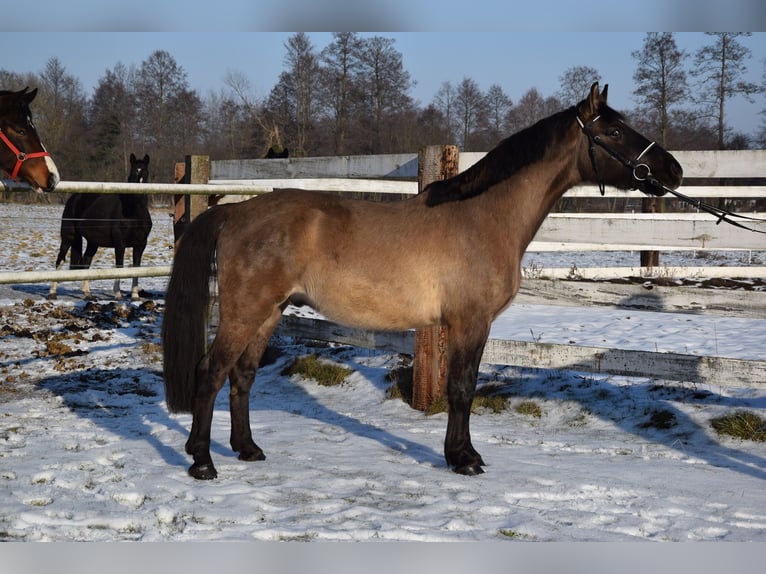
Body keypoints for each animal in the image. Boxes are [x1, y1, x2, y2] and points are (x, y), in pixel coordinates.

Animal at [48, 154, 152, 301]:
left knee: (85, 262)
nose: (138, 195)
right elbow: (119, 266)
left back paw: (88, 294)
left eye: (145, 173)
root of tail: (74, 198)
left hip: (93, 242)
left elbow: (136, 268)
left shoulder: (140, 245)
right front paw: (118, 294)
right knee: (60, 260)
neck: (134, 214)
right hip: (68, 236)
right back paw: (52, 293)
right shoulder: (120, 244)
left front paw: (135, 295)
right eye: (132, 173)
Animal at [162, 83, 683, 480]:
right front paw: (464, 459)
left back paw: (247, 449)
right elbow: (462, 387)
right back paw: (203, 462)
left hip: (268, 313)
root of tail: (235, 211)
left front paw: (462, 454)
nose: (673, 170)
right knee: (210, 373)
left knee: (243, 375)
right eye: (613, 130)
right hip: (245, 312)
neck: (483, 217)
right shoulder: (471, 322)